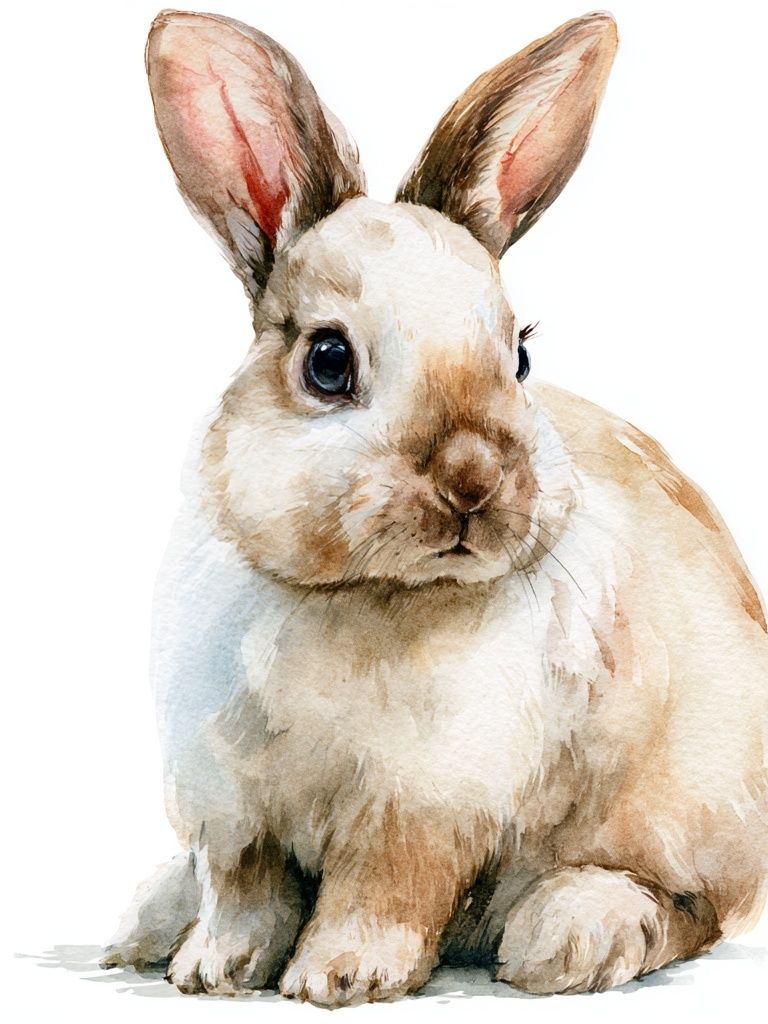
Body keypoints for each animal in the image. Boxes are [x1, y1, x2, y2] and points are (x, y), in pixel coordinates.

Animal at [102, 8, 768, 1007]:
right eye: (327, 361)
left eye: (519, 353)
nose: (474, 480)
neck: (365, 593)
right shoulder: (236, 807)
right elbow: (244, 889)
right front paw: (214, 970)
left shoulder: (423, 804)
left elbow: (385, 888)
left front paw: (337, 978)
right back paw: (145, 924)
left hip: (692, 801)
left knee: (691, 905)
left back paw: (572, 935)